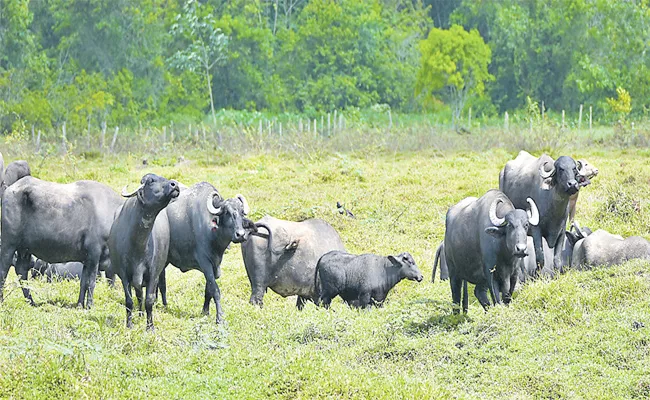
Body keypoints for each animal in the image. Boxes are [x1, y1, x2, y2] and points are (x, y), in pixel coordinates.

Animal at [0, 177, 123, 308]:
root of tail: (10, 189)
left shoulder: (87, 260)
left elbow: (83, 283)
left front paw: (80, 304)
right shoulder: (94, 254)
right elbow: (91, 282)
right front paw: (90, 305)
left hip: (24, 249)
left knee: (21, 271)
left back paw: (31, 301)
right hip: (9, 244)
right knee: (4, 270)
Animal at [109, 173, 178, 330]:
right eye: (151, 181)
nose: (175, 185)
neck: (138, 245)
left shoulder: (153, 273)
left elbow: (149, 300)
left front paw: (150, 326)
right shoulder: (123, 274)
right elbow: (129, 301)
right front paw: (129, 324)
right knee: (138, 295)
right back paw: (139, 315)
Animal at [165, 183, 253, 324]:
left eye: (241, 213)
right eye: (227, 213)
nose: (240, 235)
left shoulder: (215, 264)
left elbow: (208, 290)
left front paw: (205, 311)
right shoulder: (205, 263)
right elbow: (215, 290)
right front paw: (220, 317)